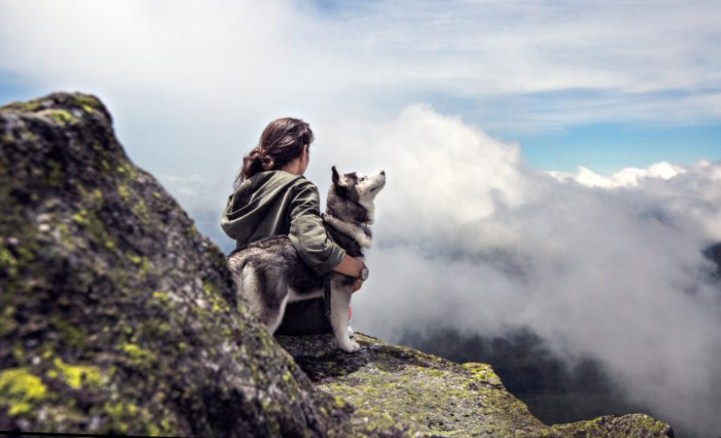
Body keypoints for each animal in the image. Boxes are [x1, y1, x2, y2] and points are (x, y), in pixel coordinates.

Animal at [226, 167, 386, 352]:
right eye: (362, 178)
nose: (383, 171)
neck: (342, 222)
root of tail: (242, 255)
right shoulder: (340, 289)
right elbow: (341, 318)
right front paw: (346, 345)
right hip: (271, 307)